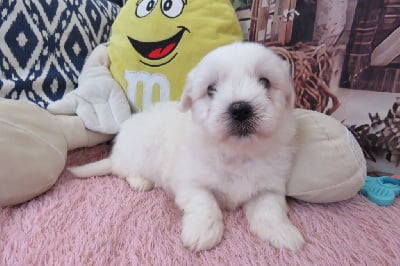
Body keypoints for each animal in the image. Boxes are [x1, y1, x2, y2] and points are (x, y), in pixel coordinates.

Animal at [70, 41, 304, 251]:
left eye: (265, 82)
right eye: (211, 89)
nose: (240, 109)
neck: (238, 152)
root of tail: (116, 154)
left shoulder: (270, 186)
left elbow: (270, 209)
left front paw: (283, 233)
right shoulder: (190, 182)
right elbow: (205, 203)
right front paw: (202, 232)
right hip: (138, 152)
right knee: (124, 170)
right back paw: (140, 181)